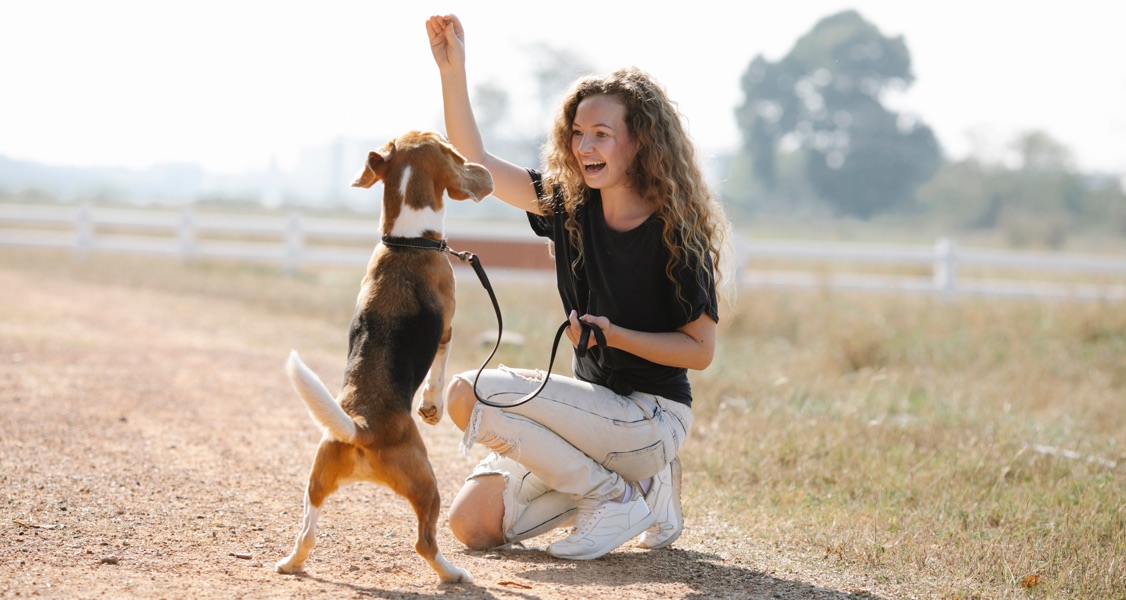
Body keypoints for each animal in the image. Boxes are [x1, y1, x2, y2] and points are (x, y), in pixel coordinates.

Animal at [273, 130, 493, 580]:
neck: (406, 242)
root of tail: (361, 427)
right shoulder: (447, 330)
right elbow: (438, 373)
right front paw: (431, 408)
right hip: (427, 484)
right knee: (424, 542)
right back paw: (453, 574)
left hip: (315, 480)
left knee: (307, 533)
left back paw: (290, 563)